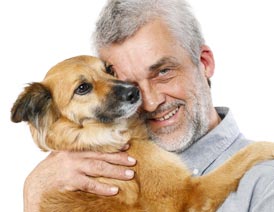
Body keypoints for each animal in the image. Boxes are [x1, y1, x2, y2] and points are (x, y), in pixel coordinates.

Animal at [11, 55, 274, 211]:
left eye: (109, 70)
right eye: (82, 88)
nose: (134, 91)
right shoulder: (187, 193)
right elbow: (241, 157)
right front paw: (268, 146)